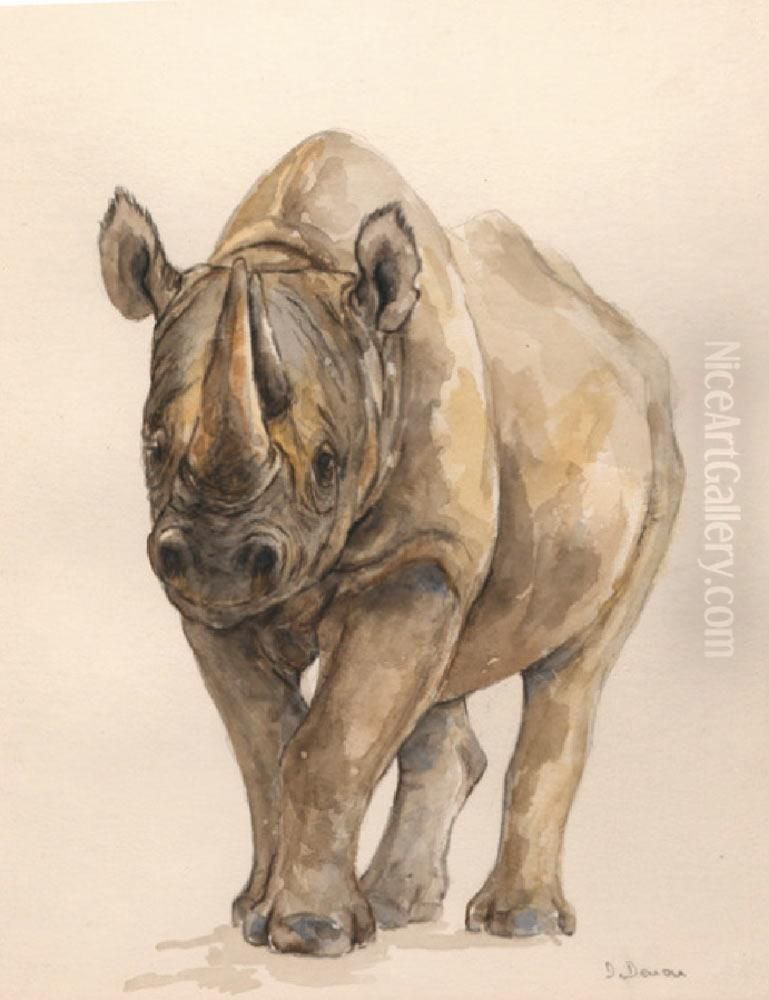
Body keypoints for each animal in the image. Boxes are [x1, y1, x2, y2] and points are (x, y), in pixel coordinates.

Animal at [99, 130, 683, 957]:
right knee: (445, 674)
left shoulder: (414, 553)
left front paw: (310, 935)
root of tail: (624, 334)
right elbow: (267, 749)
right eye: (151, 448)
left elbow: (329, 741)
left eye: (327, 463)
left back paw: (517, 924)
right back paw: (396, 905)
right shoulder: (209, 602)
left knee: (573, 667)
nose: (218, 564)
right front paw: (256, 916)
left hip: (659, 450)